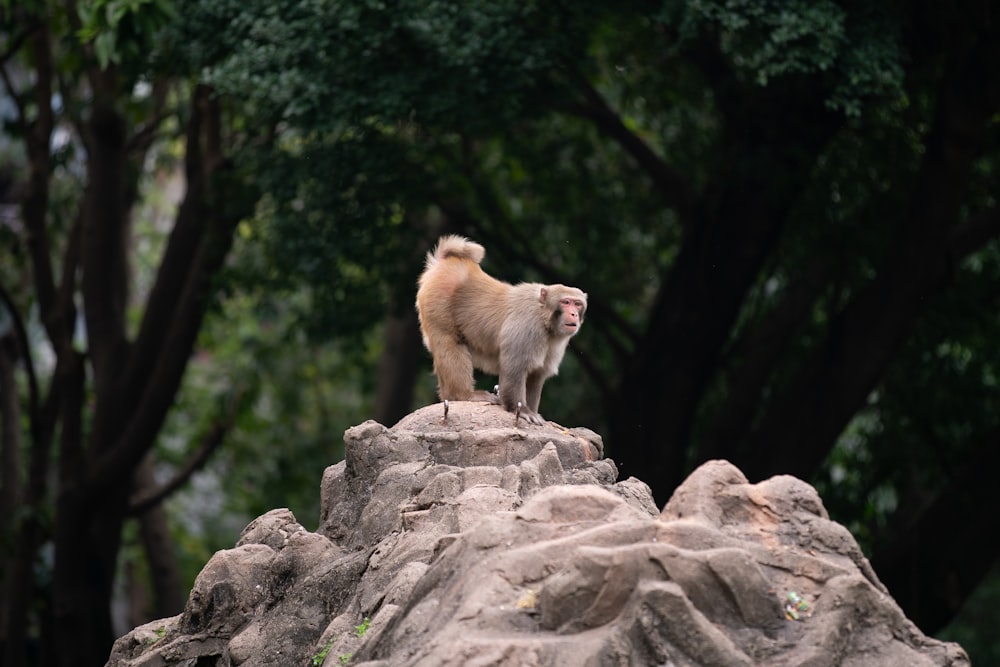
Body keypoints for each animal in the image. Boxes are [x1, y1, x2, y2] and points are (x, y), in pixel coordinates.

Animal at [414, 232, 584, 426]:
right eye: (566, 302)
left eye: (578, 304)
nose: (574, 314)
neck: (545, 320)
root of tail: (447, 262)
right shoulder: (527, 327)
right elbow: (514, 367)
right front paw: (522, 410)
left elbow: (536, 375)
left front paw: (531, 410)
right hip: (438, 301)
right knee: (450, 343)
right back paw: (463, 395)